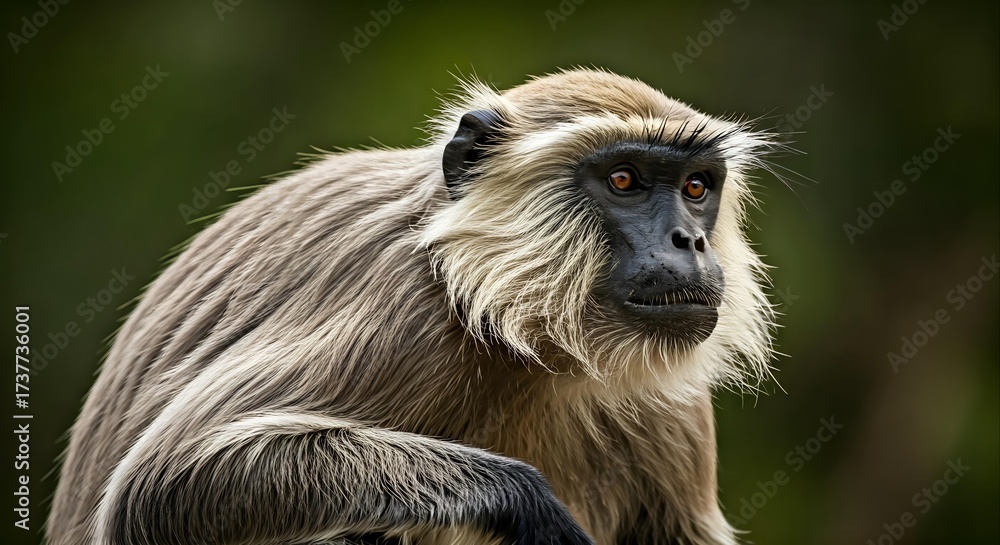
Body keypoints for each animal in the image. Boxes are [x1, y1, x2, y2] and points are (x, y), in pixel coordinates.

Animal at [48, 68, 778, 545]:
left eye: (695, 188)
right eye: (624, 180)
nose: (688, 238)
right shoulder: (404, 310)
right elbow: (157, 490)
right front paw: (526, 503)